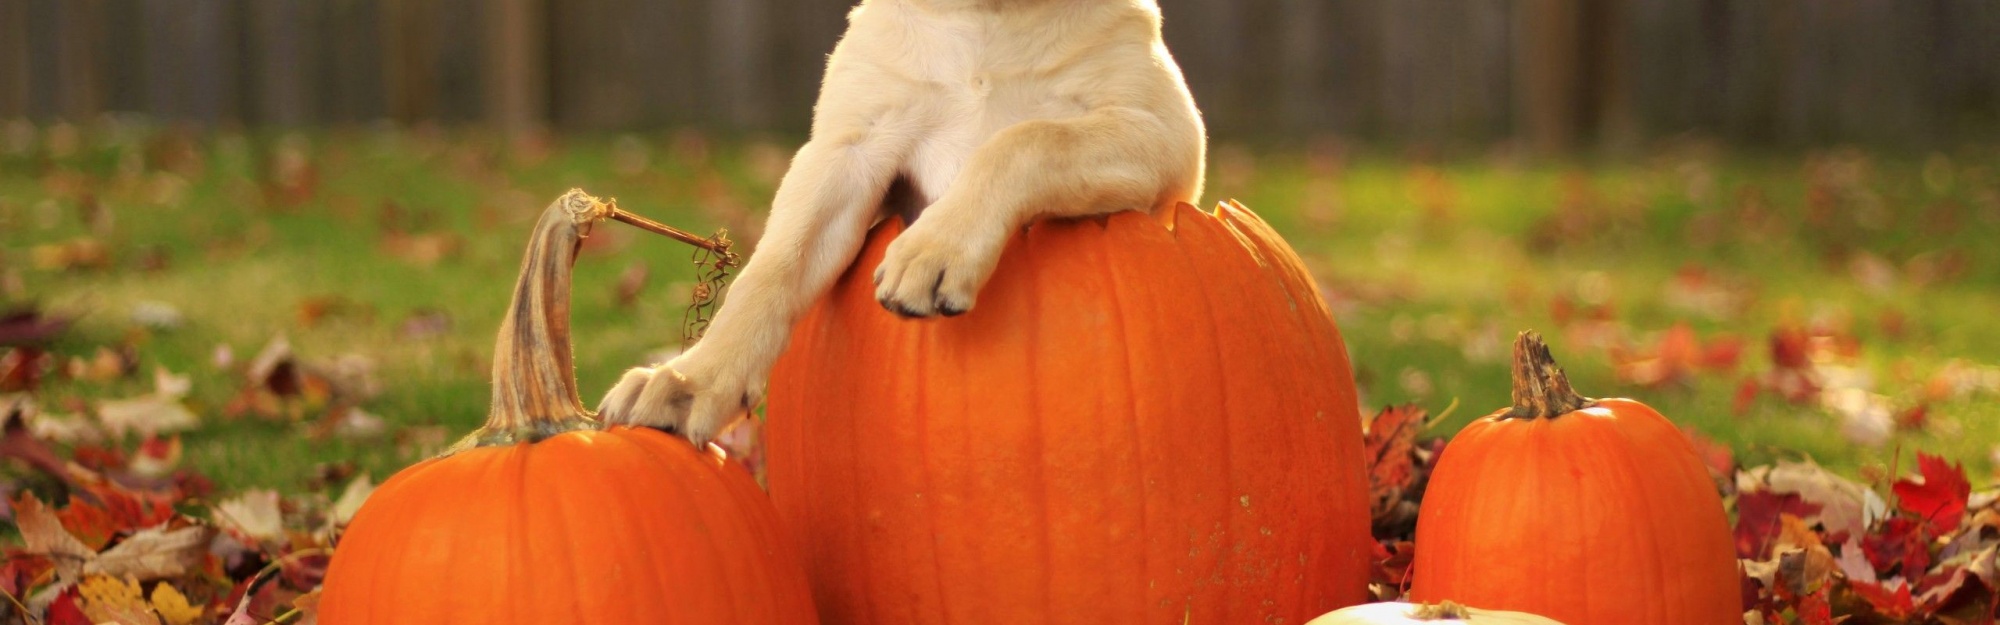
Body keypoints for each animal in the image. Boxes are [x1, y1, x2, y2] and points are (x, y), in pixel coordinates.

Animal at [596, 0, 1200, 444]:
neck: (989, 17)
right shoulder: (845, 154)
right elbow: (771, 271)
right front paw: (691, 380)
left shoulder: (1162, 135)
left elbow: (1028, 138)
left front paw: (932, 250)